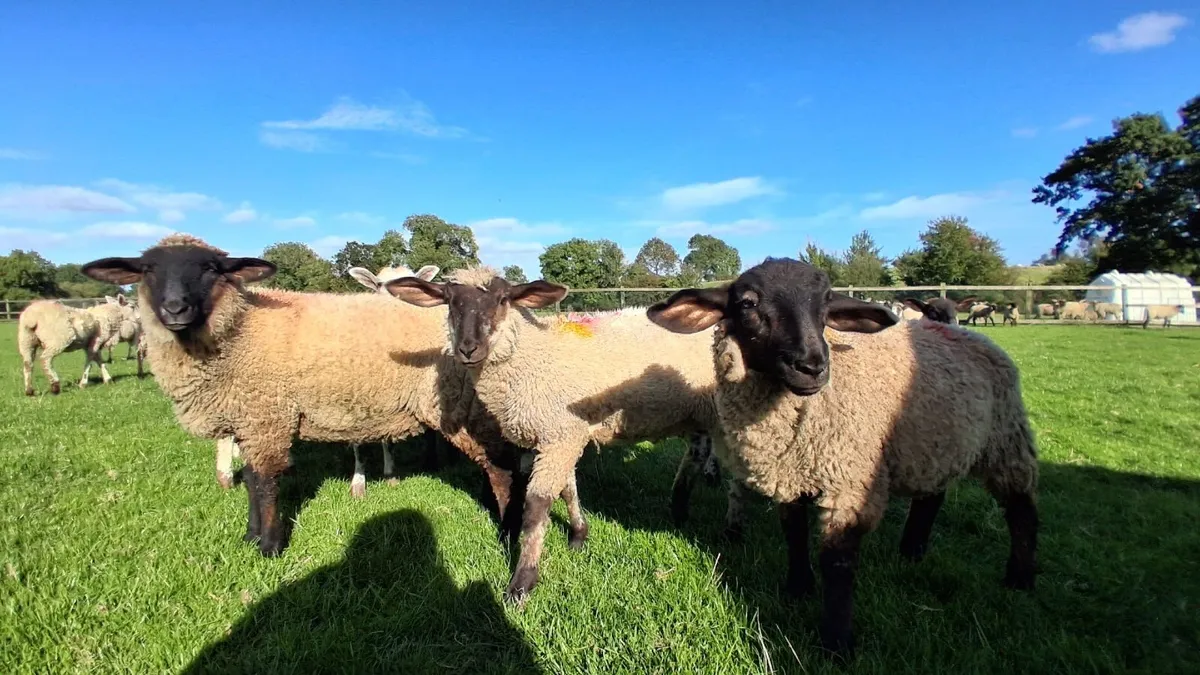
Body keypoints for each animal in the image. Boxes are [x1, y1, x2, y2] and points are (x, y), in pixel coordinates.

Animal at [81, 234, 522, 557]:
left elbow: (264, 483)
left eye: (210, 269)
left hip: (464, 408)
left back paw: (505, 531)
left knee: (502, 469)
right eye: (147, 270)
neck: (240, 332)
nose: (175, 309)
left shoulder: (267, 417)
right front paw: (251, 537)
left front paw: (270, 547)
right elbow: (253, 481)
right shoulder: (252, 419)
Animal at [385, 266, 743, 601]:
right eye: (449, 301)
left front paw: (522, 582)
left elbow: (537, 505)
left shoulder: (560, 435)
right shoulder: (560, 435)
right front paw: (578, 536)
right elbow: (568, 490)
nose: (468, 349)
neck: (535, 357)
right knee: (697, 454)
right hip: (699, 412)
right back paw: (680, 508)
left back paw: (731, 530)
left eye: (502, 300)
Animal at [647, 257, 1039, 658]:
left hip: (1005, 442)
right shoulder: (790, 472)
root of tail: (974, 337)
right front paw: (798, 588)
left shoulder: (851, 482)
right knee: (932, 496)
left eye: (826, 303)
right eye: (747, 303)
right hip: (933, 444)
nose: (812, 366)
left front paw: (837, 643)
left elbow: (837, 561)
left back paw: (1019, 577)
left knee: (1022, 510)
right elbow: (794, 531)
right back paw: (912, 551)